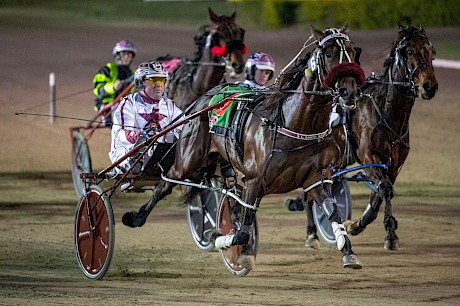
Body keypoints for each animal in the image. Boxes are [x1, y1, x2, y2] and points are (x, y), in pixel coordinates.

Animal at [122, 25, 366, 270]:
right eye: (329, 53)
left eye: (354, 51)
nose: (349, 91)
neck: (293, 124)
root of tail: (203, 99)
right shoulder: (254, 180)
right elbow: (242, 232)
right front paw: (224, 241)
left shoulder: (315, 180)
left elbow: (333, 213)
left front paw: (348, 251)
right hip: (188, 159)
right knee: (165, 184)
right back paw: (136, 217)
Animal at [304, 23, 436, 250]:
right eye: (409, 51)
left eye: (431, 51)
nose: (430, 86)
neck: (387, 112)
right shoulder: (368, 157)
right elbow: (384, 188)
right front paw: (390, 234)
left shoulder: (394, 163)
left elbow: (382, 193)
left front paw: (358, 225)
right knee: (307, 193)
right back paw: (312, 233)